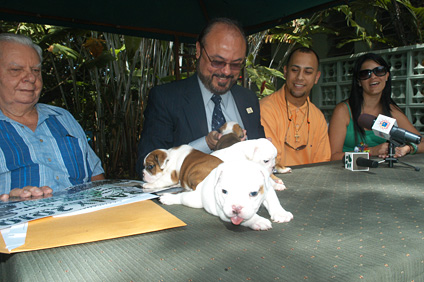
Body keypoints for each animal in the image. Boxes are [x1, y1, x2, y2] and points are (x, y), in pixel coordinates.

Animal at [158, 160, 292, 230]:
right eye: (224, 191)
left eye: (253, 193)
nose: (236, 208)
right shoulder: (224, 212)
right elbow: (246, 218)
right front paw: (257, 220)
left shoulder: (268, 191)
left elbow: (274, 202)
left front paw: (281, 213)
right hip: (193, 200)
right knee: (182, 197)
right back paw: (168, 198)